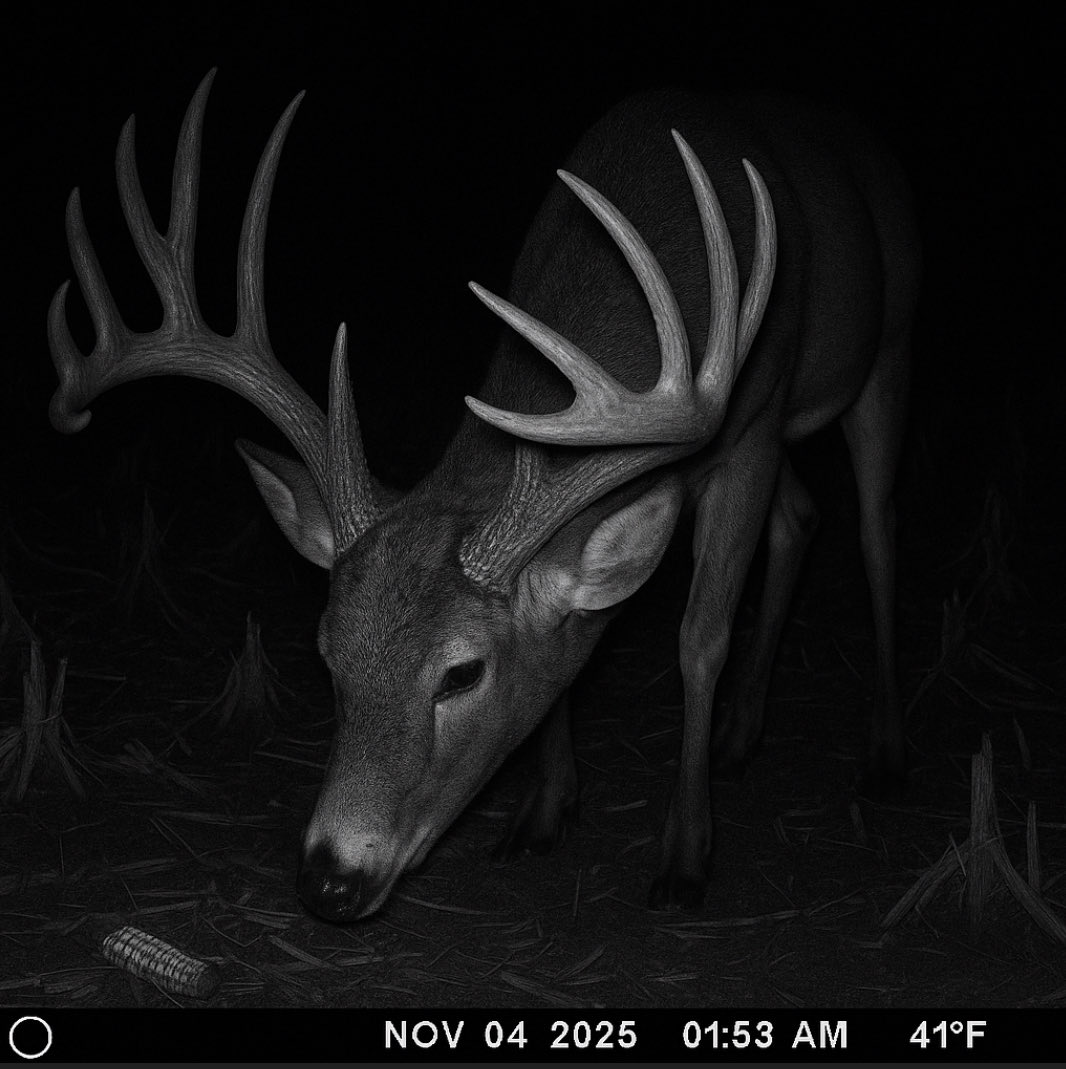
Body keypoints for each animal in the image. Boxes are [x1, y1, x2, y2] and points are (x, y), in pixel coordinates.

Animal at [48, 70, 920, 921]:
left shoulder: (753, 431)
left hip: (883, 356)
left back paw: (882, 752)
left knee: (876, 533)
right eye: (327, 651)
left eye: (461, 674)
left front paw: (684, 859)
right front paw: (544, 811)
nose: (329, 880)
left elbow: (700, 637)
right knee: (803, 516)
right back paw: (744, 734)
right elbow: (572, 652)